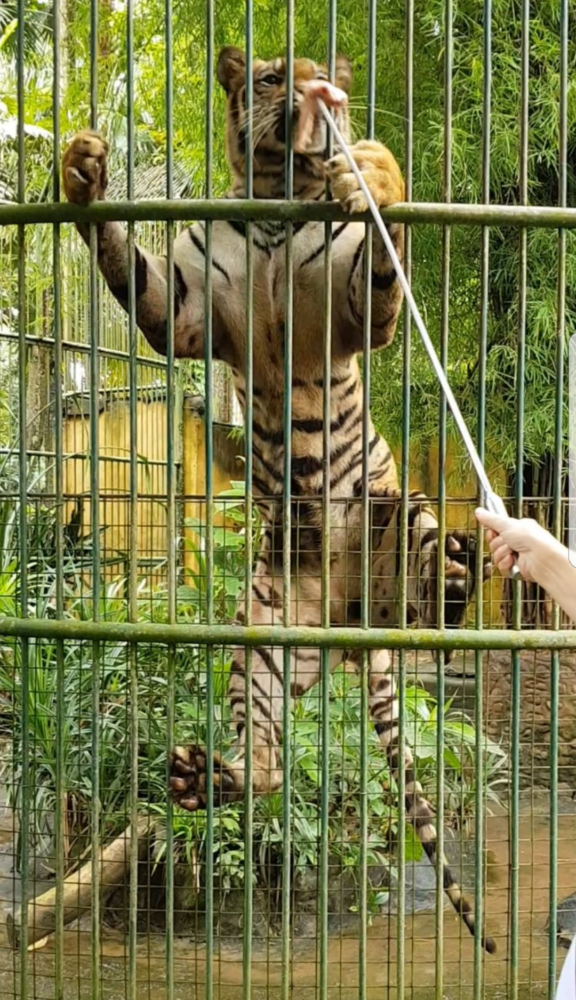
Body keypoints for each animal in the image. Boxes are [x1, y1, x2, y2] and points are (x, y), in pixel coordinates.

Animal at [63, 47, 496, 952]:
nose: (310, 93)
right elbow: (134, 271)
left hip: (401, 517)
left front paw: (374, 171)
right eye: (268, 78)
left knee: (438, 601)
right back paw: (205, 776)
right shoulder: (184, 312)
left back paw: (454, 577)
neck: (268, 203)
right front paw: (83, 173)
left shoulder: (354, 310)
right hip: (259, 640)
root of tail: (352, 625)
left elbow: (380, 268)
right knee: (262, 767)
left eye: (320, 73)